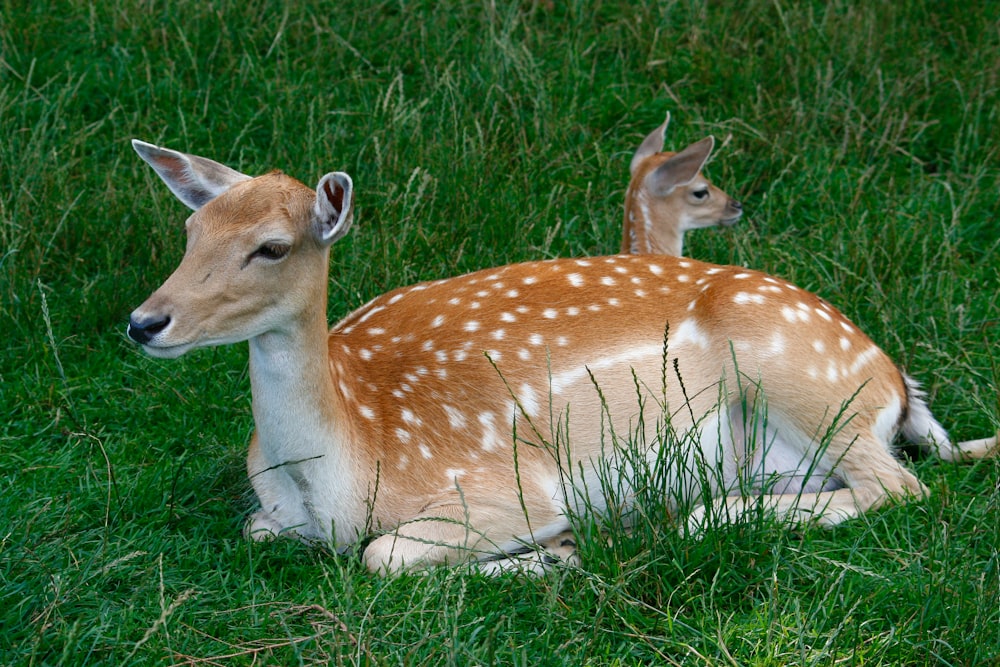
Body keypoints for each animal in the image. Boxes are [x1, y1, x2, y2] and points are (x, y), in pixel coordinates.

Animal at [129, 140, 996, 576]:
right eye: (190, 231)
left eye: (271, 246)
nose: (143, 321)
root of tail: (896, 382)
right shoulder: (271, 517)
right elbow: (257, 531)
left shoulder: (509, 489)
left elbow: (382, 555)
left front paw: (554, 554)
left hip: (810, 384)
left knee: (901, 485)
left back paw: (694, 517)